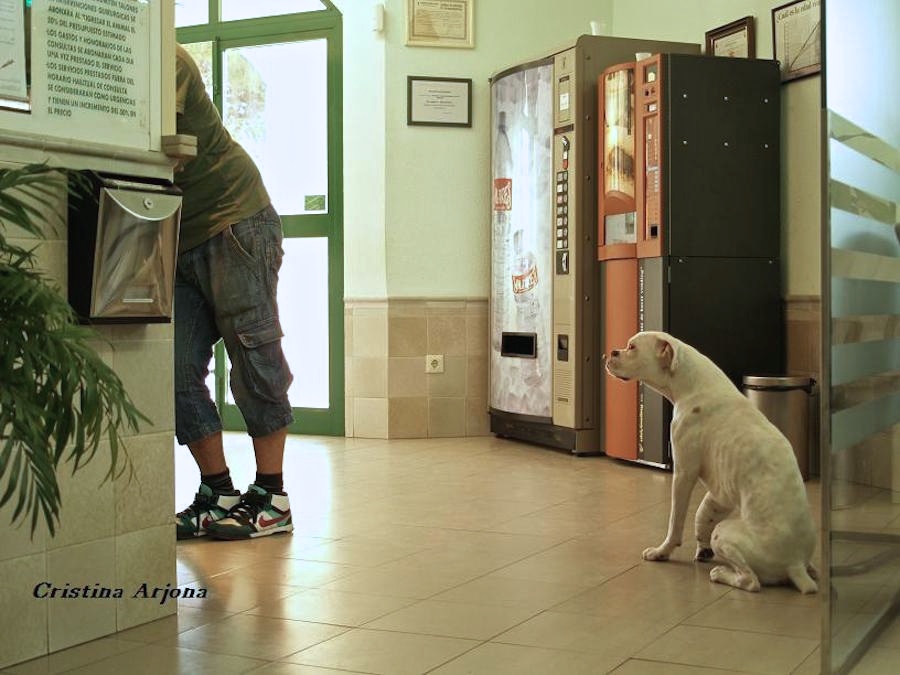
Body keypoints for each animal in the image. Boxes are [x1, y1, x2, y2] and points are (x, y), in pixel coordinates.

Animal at [604, 332, 816, 592]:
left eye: (632, 347)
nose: (611, 352)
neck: (691, 384)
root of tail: (794, 563)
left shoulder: (683, 474)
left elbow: (675, 521)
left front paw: (662, 551)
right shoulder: (721, 492)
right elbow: (703, 514)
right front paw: (702, 548)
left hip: (725, 534)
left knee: (751, 582)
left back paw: (721, 574)